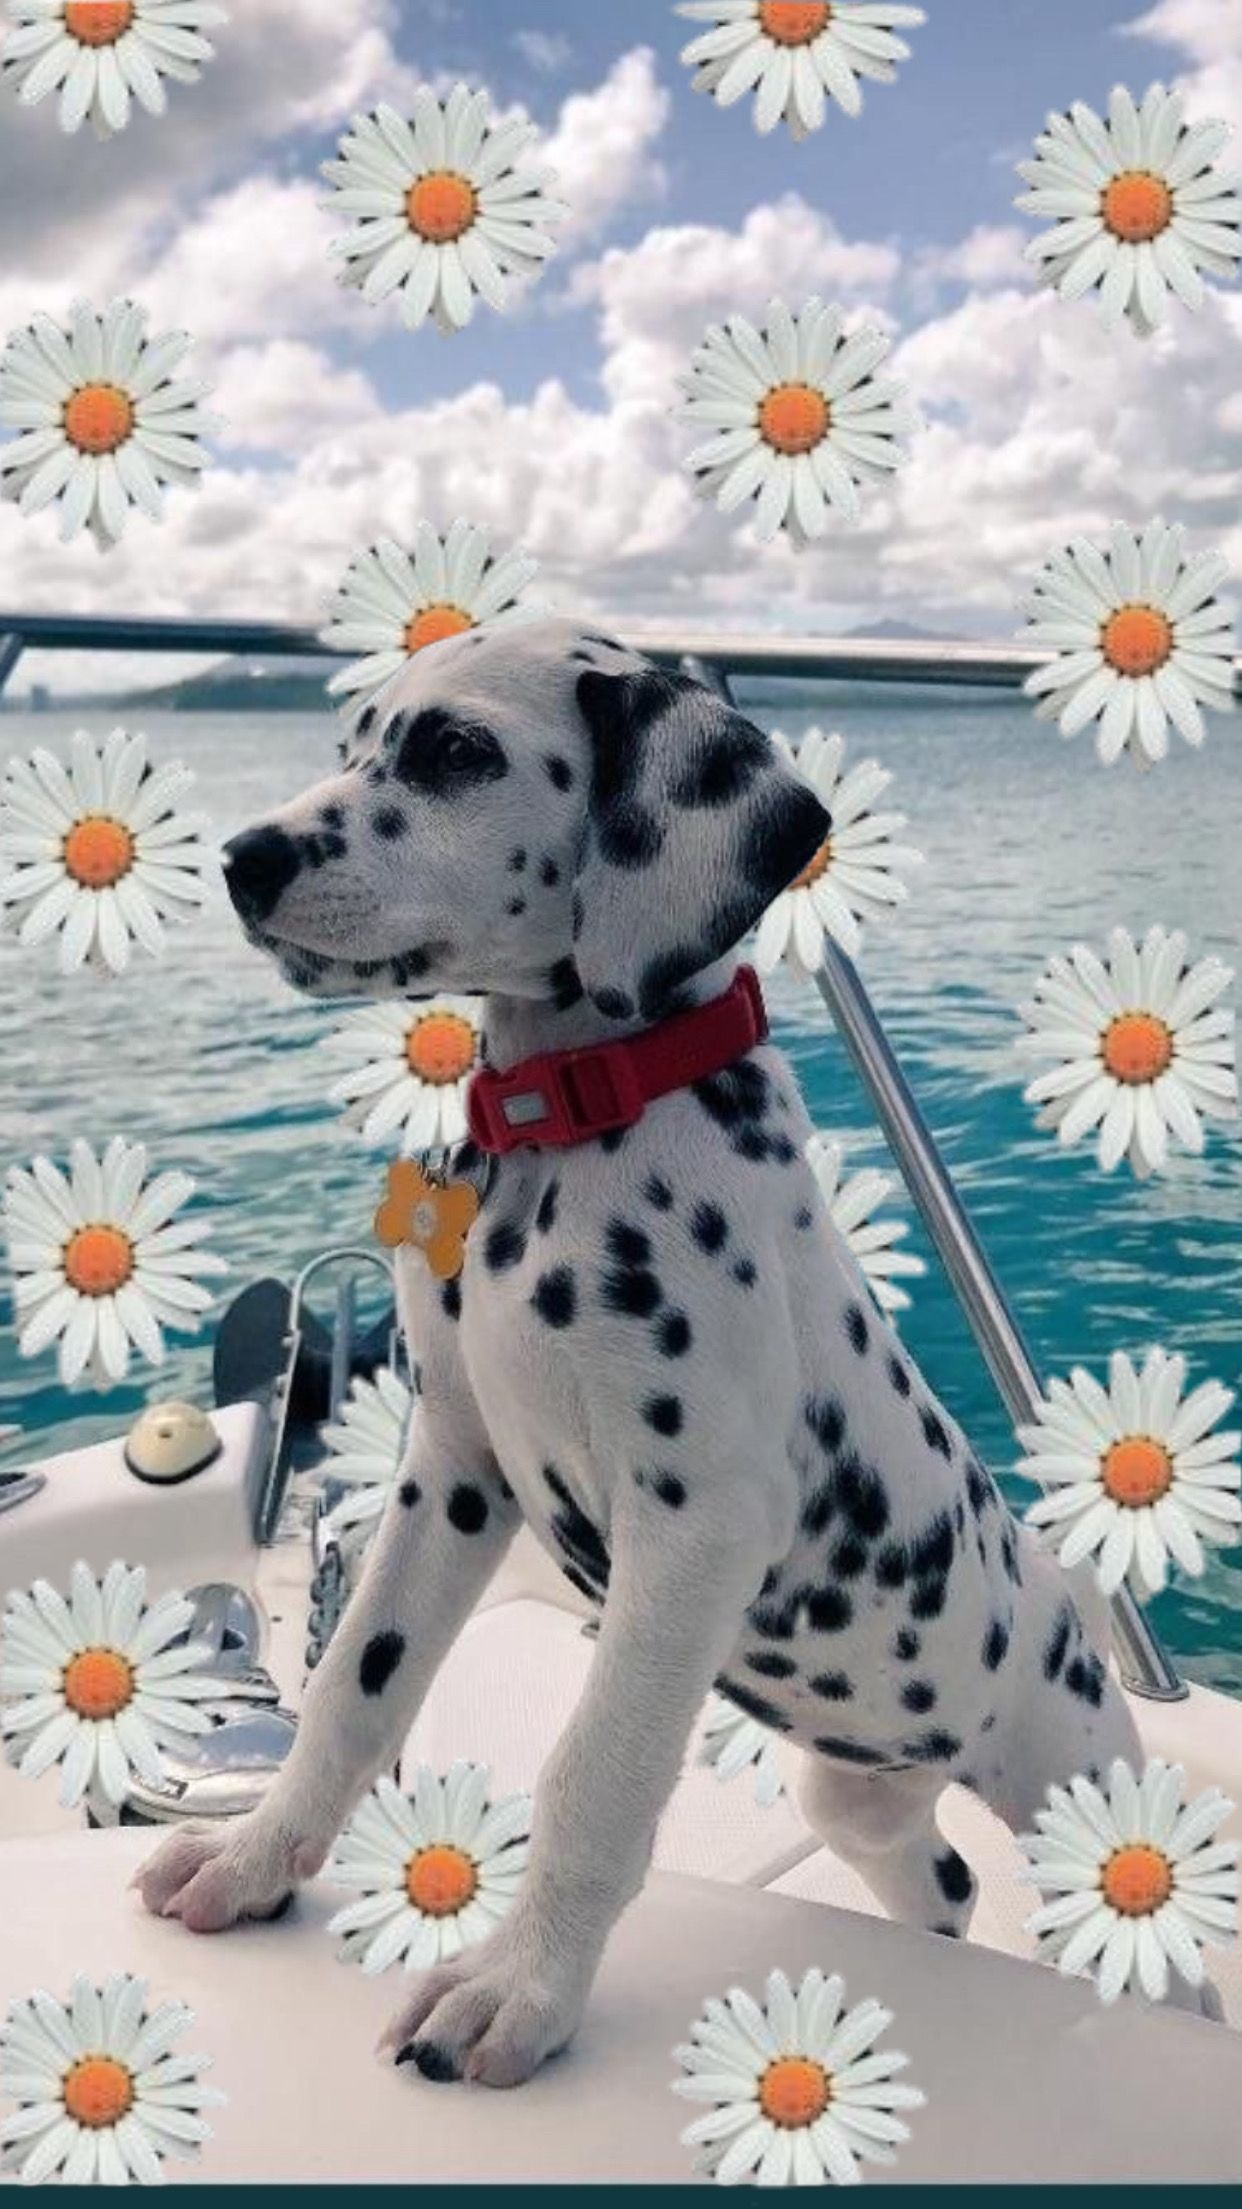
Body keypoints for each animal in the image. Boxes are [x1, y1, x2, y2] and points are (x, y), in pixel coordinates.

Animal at [135, 618, 1175, 2085]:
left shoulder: (693, 1532)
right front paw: (253, 1858)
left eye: (456, 750)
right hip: (855, 1800)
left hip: (1076, 1793)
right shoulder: (453, 1476)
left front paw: (514, 1988)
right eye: (353, 742)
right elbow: (351, 1689)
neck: (570, 1119)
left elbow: (596, 1770)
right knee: (947, 1885)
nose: (242, 859)